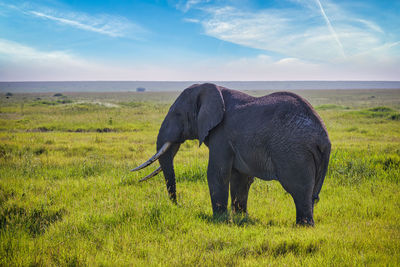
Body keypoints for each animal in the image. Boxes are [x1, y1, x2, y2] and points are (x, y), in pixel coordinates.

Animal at [132, 83, 332, 226]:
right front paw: (240, 218)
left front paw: (220, 220)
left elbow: (217, 173)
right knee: (311, 194)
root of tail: (324, 137)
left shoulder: (222, 134)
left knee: (299, 189)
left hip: (294, 153)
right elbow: (240, 178)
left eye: (178, 114)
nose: (178, 205)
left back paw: (303, 226)